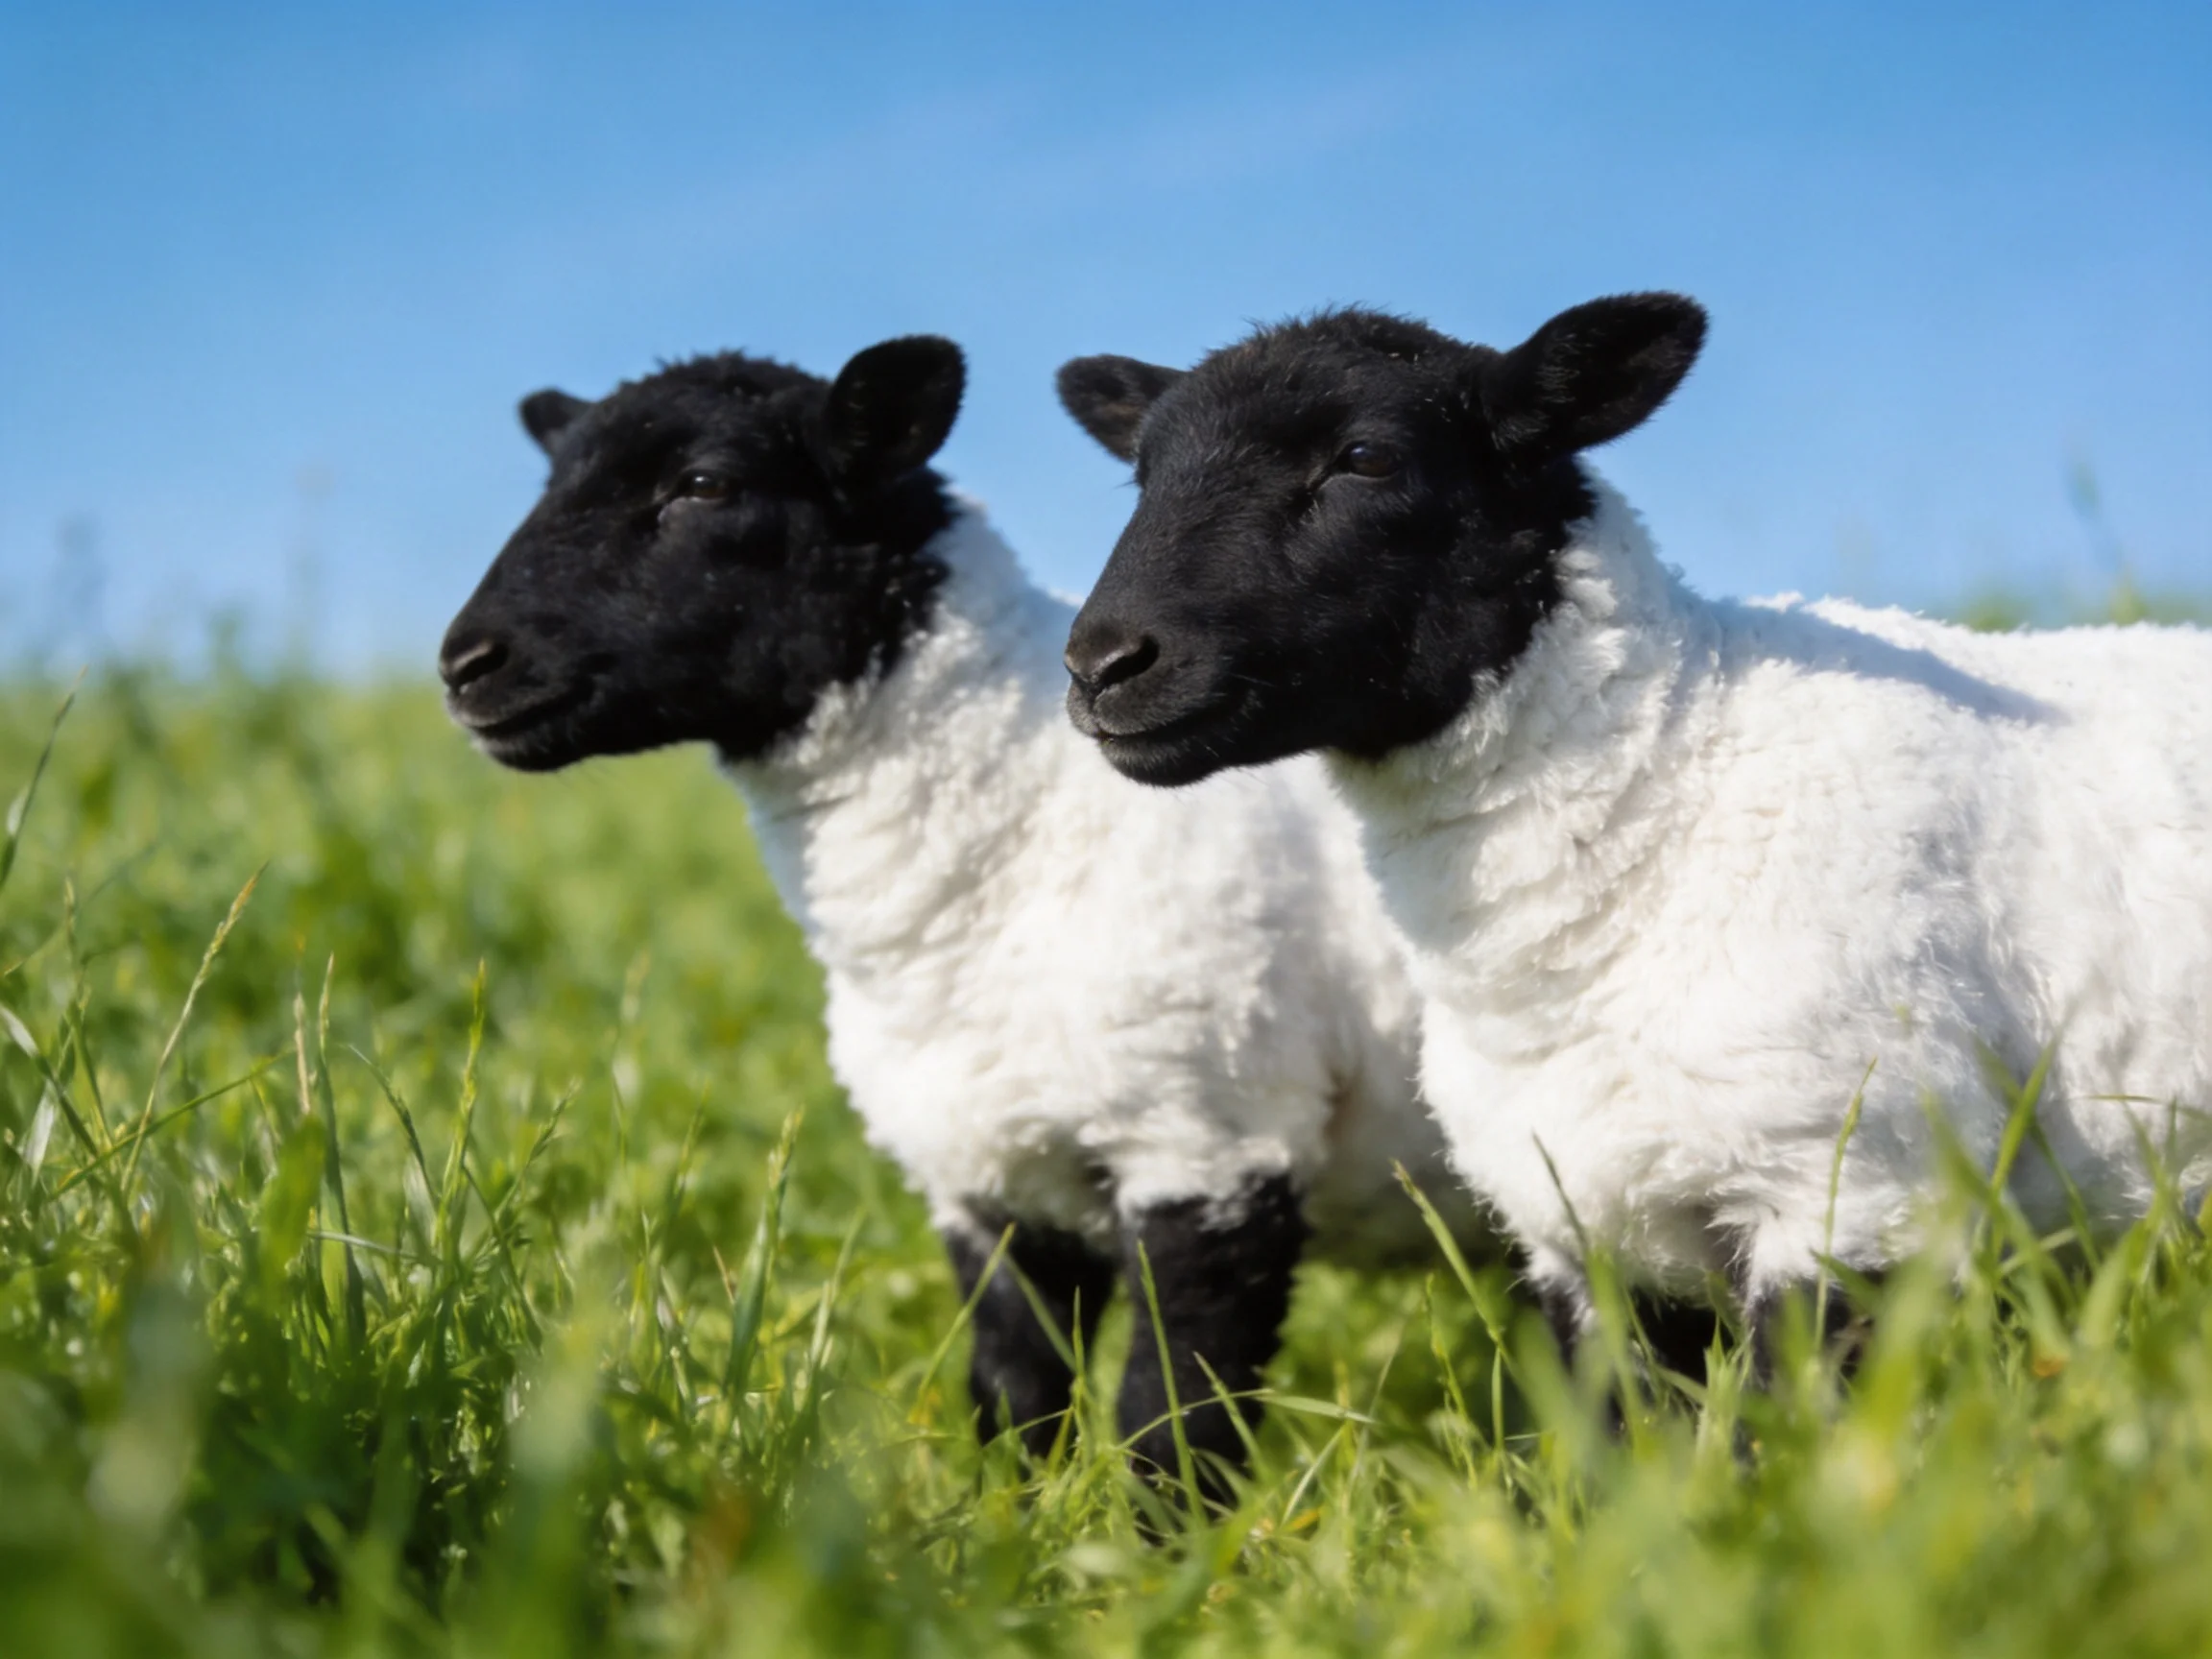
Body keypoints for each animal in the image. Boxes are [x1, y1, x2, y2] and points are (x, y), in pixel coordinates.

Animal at [438, 334, 1498, 1491]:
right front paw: (1005, 1526)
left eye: (705, 483)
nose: (466, 665)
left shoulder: (1212, 1139)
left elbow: (1171, 1423)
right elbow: (1015, 1402)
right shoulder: (987, 1176)